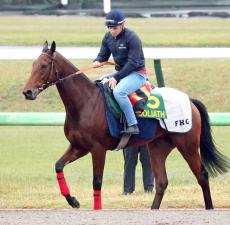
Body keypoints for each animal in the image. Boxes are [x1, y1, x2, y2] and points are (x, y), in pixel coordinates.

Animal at [22, 41, 229, 210]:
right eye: (32, 65)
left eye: (44, 65)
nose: (27, 92)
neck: (85, 103)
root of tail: (190, 100)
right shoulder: (79, 147)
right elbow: (58, 166)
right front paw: (73, 200)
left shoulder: (97, 149)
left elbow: (97, 181)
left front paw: (96, 209)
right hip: (158, 146)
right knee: (162, 181)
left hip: (187, 144)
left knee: (202, 175)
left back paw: (209, 208)